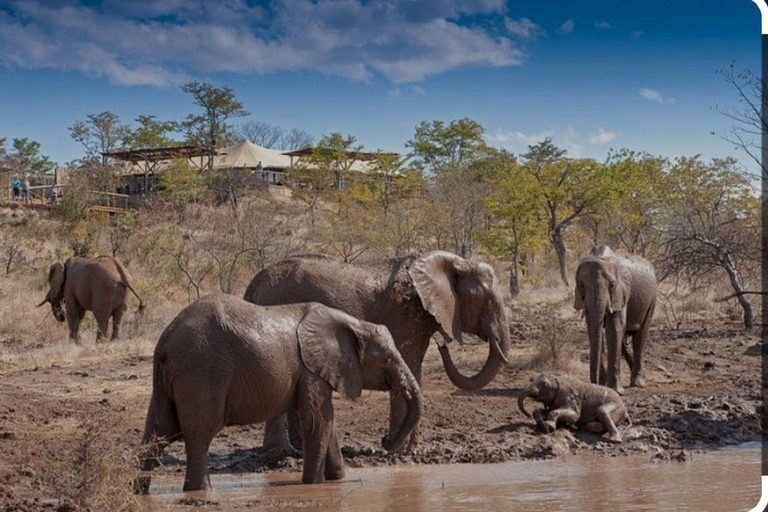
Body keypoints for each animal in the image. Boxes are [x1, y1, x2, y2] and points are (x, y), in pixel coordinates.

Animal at [135, 294, 424, 494]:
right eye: (387, 360)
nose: (385, 440)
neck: (352, 324)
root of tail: (165, 340)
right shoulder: (311, 369)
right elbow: (318, 421)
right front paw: (314, 485)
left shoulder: (312, 371)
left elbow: (328, 422)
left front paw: (336, 481)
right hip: (200, 372)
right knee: (199, 434)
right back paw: (200, 491)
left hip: (169, 380)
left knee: (158, 432)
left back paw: (139, 491)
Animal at [244, 250, 510, 454]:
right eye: (485, 302)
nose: (442, 345)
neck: (453, 261)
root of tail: (252, 286)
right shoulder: (405, 314)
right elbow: (410, 365)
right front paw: (403, 452)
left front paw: (410, 450)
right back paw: (280, 454)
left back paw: (295, 452)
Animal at [572, 246, 656, 394]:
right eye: (581, 285)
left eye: (612, 285)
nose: (594, 384)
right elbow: (593, 328)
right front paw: (602, 386)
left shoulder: (621, 292)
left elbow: (614, 327)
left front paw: (616, 391)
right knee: (624, 342)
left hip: (652, 299)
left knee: (640, 336)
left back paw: (638, 383)